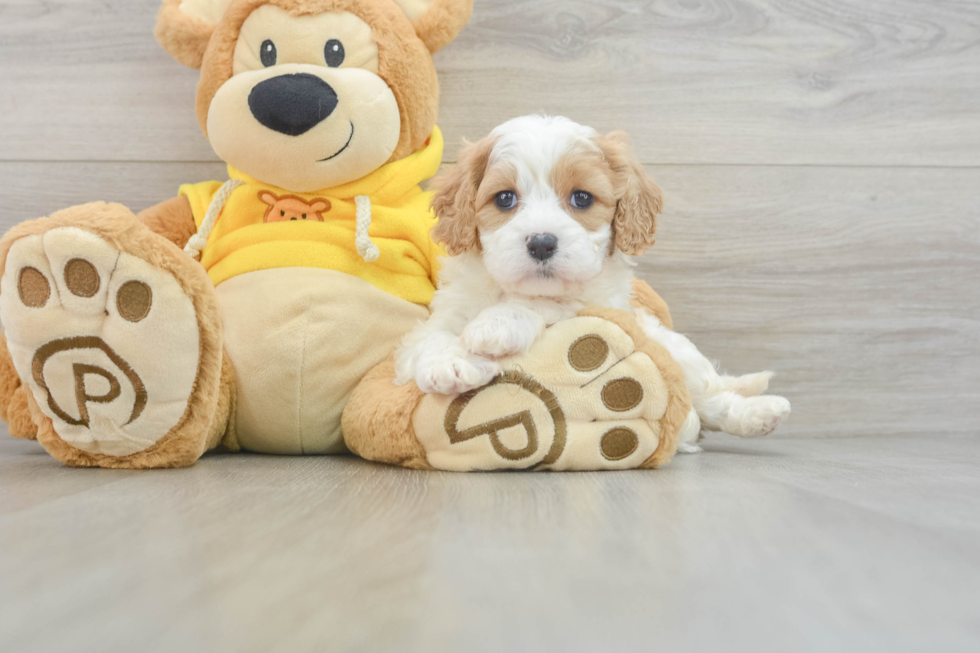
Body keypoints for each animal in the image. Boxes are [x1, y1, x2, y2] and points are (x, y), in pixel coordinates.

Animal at [394, 114, 792, 450]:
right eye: (504, 198)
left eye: (582, 198)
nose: (542, 243)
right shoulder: (445, 313)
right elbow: (430, 337)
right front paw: (449, 362)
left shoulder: (600, 305)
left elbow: (549, 304)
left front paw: (498, 323)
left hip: (676, 351)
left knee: (710, 397)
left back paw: (760, 414)